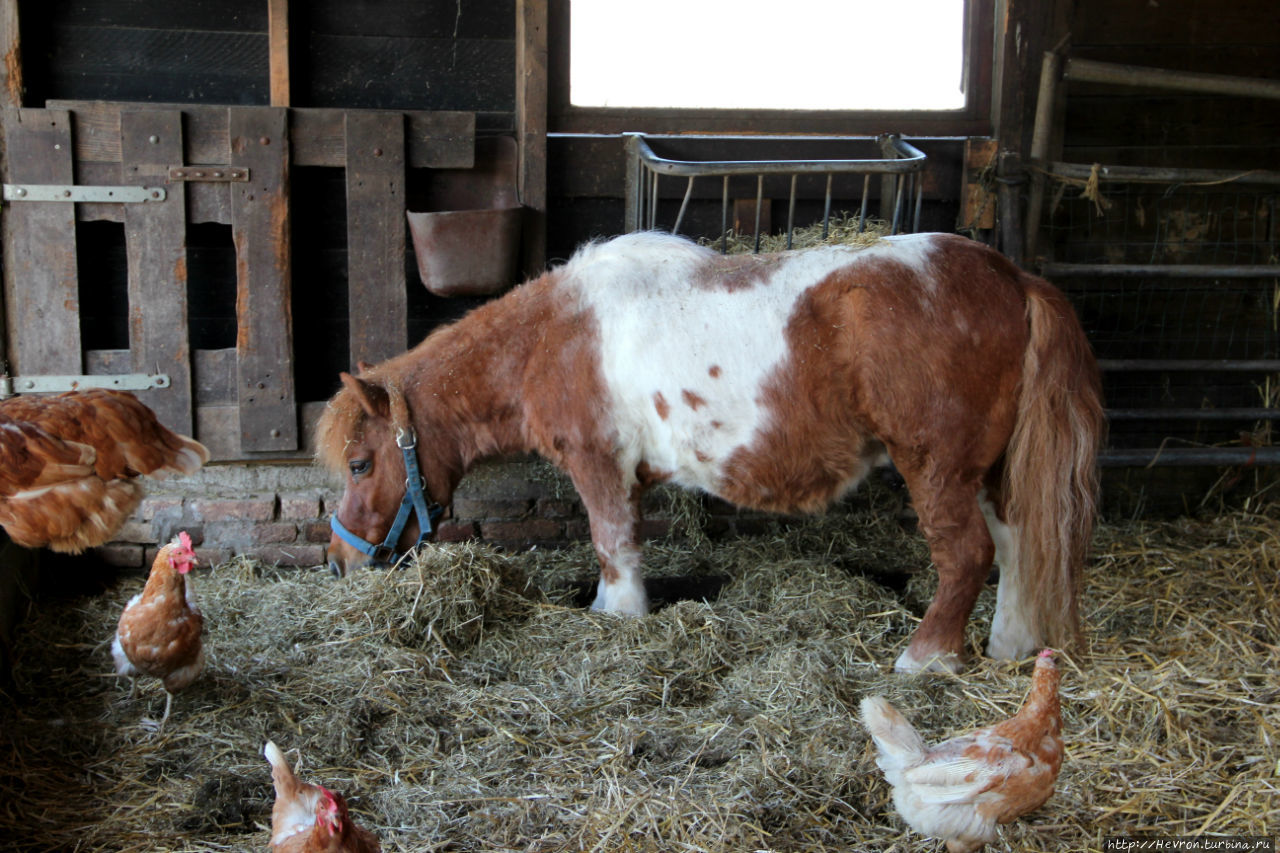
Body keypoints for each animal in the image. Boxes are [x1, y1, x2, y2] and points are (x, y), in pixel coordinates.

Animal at [314, 230, 1105, 671]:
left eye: (359, 464)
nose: (340, 560)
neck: (554, 335)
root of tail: (1013, 279)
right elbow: (625, 543)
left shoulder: (597, 466)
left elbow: (613, 548)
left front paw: (619, 617)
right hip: (990, 472)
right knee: (1016, 547)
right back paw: (1008, 646)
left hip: (937, 467)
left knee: (968, 555)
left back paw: (924, 659)